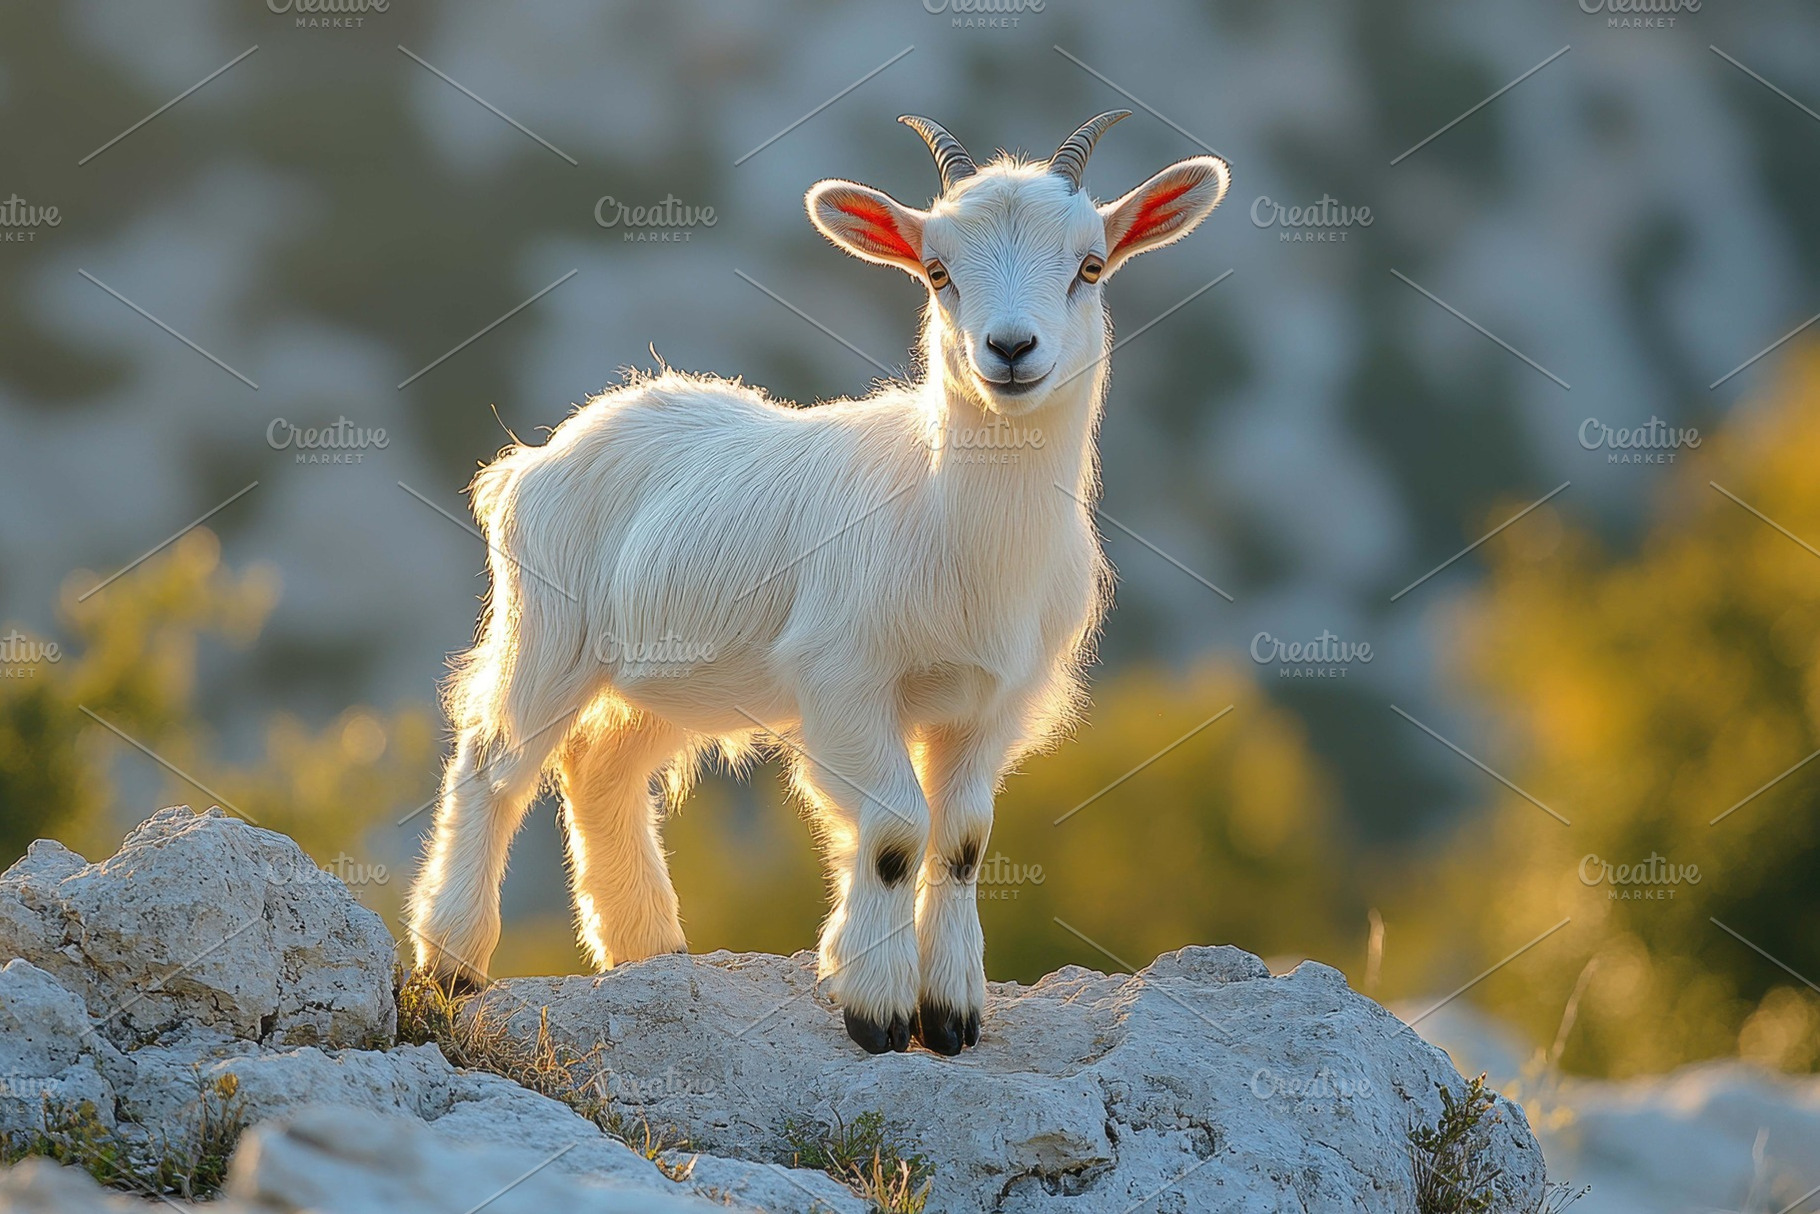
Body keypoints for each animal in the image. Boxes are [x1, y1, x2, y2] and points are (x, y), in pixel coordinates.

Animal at [405, 112, 1229, 1055]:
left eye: (1090, 266)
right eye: (938, 273)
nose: (1011, 350)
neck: (959, 531)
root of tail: (540, 454)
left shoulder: (994, 702)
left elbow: (962, 840)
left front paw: (950, 1013)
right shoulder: (845, 677)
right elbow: (896, 832)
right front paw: (877, 1011)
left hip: (666, 672)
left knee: (599, 768)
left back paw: (647, 948)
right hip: (547, 625)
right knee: (492, 764)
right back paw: (452, 961)